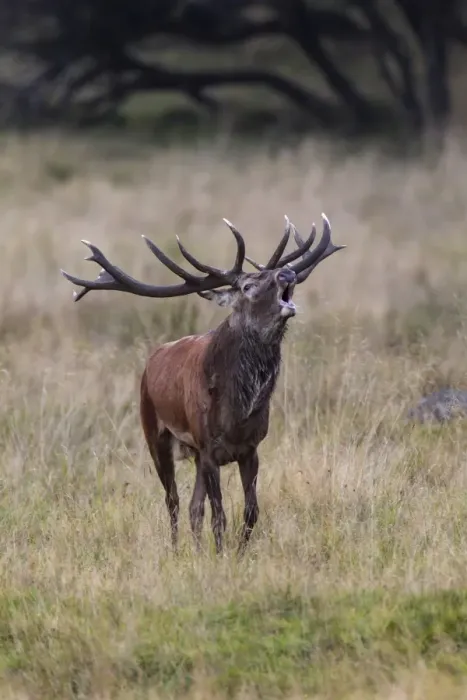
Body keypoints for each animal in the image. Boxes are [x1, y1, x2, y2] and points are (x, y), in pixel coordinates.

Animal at [61, 212, 345, 555]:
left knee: (193, 507)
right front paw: (220, 555)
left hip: (194, 453)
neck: (238, 411)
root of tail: (151, 360)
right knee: (173, 501)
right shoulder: (209, 447)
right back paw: (175, 550)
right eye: (248, 286)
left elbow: (251, 511)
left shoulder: (250, 448)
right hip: (155, 434)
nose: (287, 272)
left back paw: (195, 550)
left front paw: (238, 554)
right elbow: (218, 515)